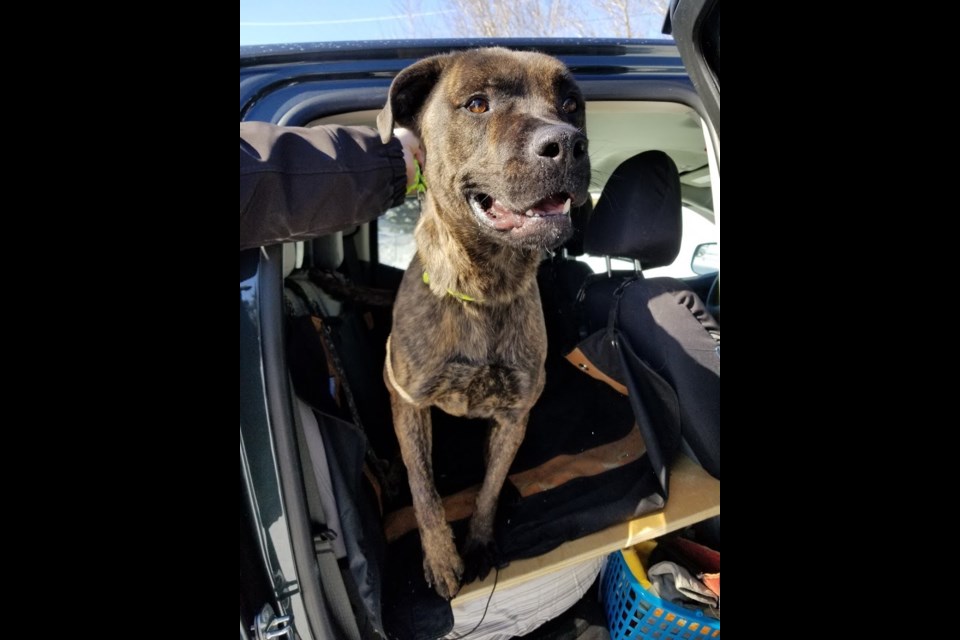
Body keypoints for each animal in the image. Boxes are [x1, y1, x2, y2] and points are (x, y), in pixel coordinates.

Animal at [376, 47, 588, 596]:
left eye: (570, 103)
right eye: (477, 104)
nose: (567, 144)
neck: (482, 290)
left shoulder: (515, 414)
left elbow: (489, 488)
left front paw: (477, 543)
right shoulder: (408, 401)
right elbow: (424, 491)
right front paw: (442, 559)